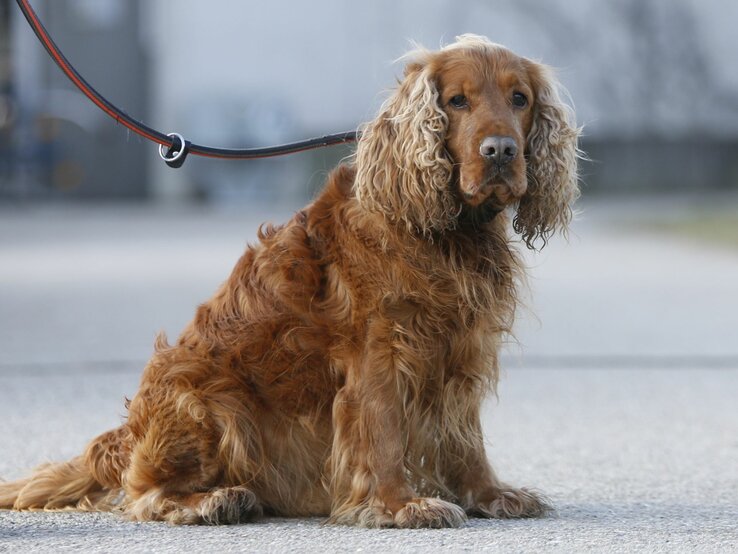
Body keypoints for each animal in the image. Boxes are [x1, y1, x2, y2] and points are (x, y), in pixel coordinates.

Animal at [0, 34, 576, 528]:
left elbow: (466, 437)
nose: (500, 151)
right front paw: (399, 505)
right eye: (456, 101)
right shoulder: (380, 349)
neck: (446, 231)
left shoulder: (463, 348)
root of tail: (127, 432)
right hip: (211, 400)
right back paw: (214, 500)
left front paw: (489, 495)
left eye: (520, 99)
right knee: (143, 492)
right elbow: (384, 429)